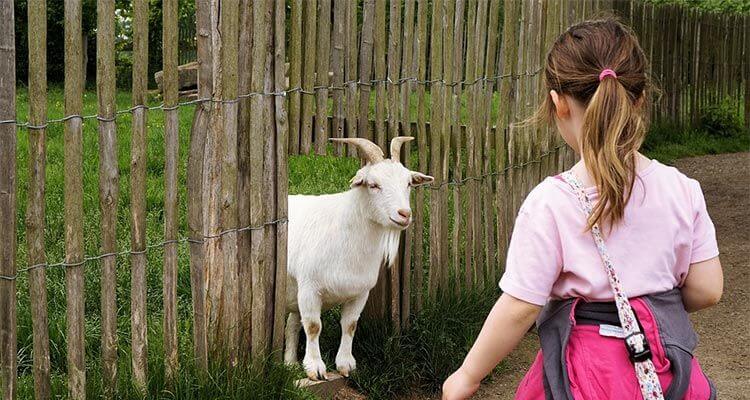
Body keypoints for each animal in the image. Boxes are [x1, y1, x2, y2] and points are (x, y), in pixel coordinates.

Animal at [284, 138, 434, 382]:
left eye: (409, 184)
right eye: (373, 185)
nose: (404, 214)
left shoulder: (360, 292)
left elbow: (350, 325)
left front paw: (346, 365)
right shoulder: (309, 289)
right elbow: (314, 326)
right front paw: (315, 368)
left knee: (292, 325)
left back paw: (289, 363)